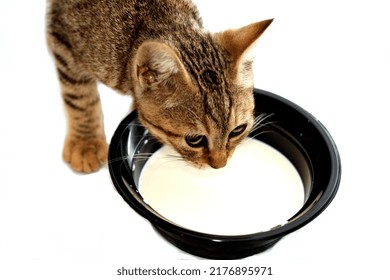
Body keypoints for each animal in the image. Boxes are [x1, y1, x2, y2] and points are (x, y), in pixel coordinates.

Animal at [46, 0, 272, 173]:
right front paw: (86, 143)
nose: (220, 165)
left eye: (237, 130)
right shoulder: (62, 40)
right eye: (194, 140)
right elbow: (80, 98)